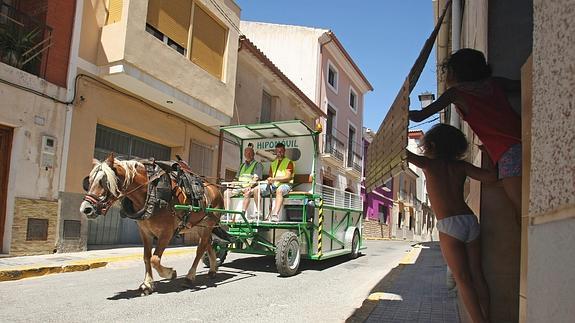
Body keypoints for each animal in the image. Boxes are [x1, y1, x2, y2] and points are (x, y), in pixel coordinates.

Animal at [80, 155, 224, 296]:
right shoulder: (145, 232)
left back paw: (190, 277)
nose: (86, 209)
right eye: (89, 181)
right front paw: (147, 284)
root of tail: (215, 188)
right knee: (208, 244)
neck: (151, 192)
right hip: (198, 226)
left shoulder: (166, 233)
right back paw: (213, 269)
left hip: (208, 224)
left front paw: (170, 273)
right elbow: (147, 257)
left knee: (200, 249)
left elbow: (155, 259)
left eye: (104, 182)